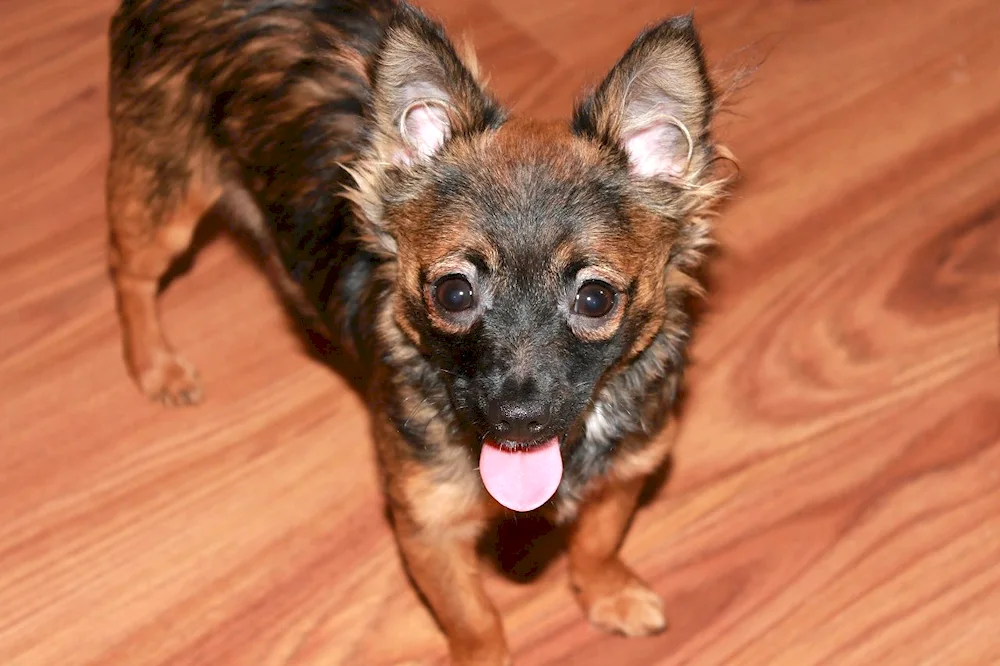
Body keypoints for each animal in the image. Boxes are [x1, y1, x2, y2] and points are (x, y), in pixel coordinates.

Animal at [107, 2, 736, 660]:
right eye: (453, 293)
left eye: (596, 298)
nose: (518, 419)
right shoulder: (427, 524)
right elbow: (473, 617)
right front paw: (486, 656)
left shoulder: (629, 468)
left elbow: (598, 539)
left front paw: (609, 593)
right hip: (163, 195)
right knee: (130, 273)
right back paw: (155, 365)